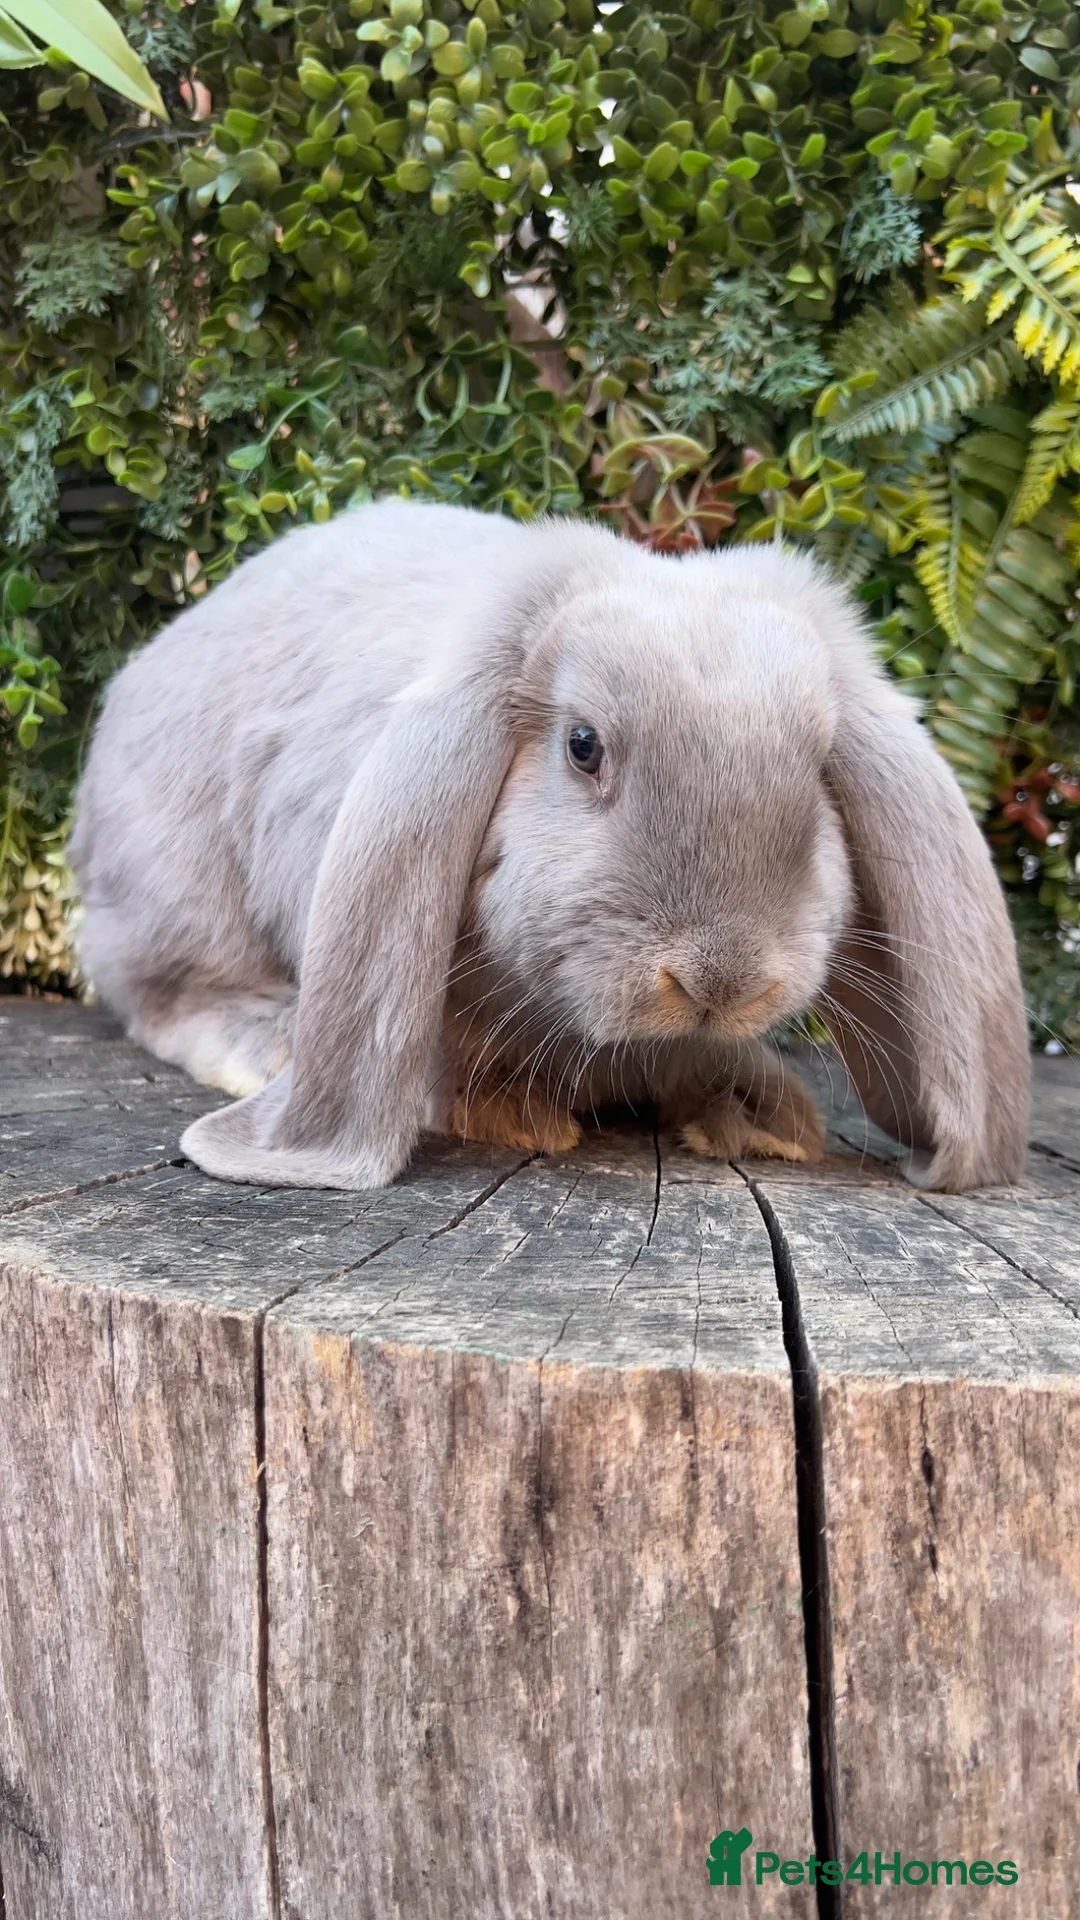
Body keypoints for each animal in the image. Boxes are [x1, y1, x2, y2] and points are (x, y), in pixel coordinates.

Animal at [70, 497, 1030, 1193]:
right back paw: (263, 1040)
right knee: (165, 991)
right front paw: (517, 1116)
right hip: (176, 888)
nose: (721, 979)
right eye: (583, 745)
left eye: (822, 764)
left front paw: (760, 1117)